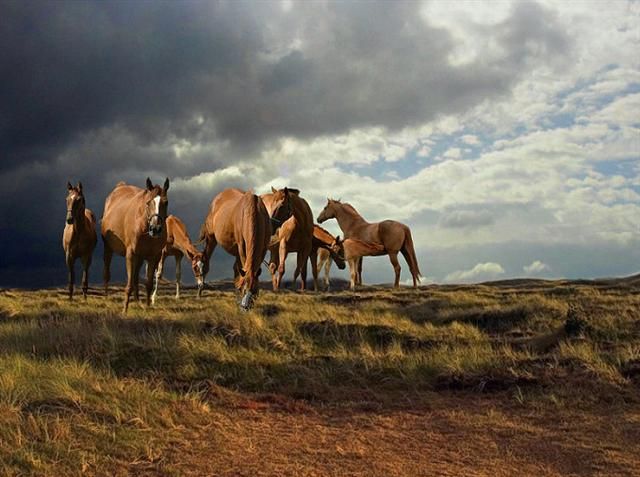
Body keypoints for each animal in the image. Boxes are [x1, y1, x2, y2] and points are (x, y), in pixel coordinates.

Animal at [102, 178, 169, 312]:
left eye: (166, 202)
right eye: (148, 202)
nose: (155, 229)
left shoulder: (153, 257)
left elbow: (148, 284)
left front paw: (147, 307)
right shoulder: (131, 255)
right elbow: (129, 285)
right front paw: (124, 310)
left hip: (140, 258)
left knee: (136, 278)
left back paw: (138, 302)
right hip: (108, 248)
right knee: (107, 273)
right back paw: (107, 297)